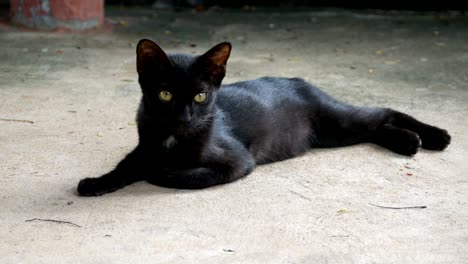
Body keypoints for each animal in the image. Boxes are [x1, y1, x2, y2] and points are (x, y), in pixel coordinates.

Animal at [77, 39, 450, 196]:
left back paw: (434, 137)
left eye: (200, 96)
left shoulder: (237, 162)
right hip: (335, 135)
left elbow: (188, 176)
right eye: (165, 95)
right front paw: (96, 183)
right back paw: (408, 142)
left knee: (382, 112)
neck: (172, 139)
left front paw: (164, 172)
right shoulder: (144, 146)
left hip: (337, 121)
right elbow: (126, 166)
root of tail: (299, 80)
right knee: (377, 126)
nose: (184, 117)